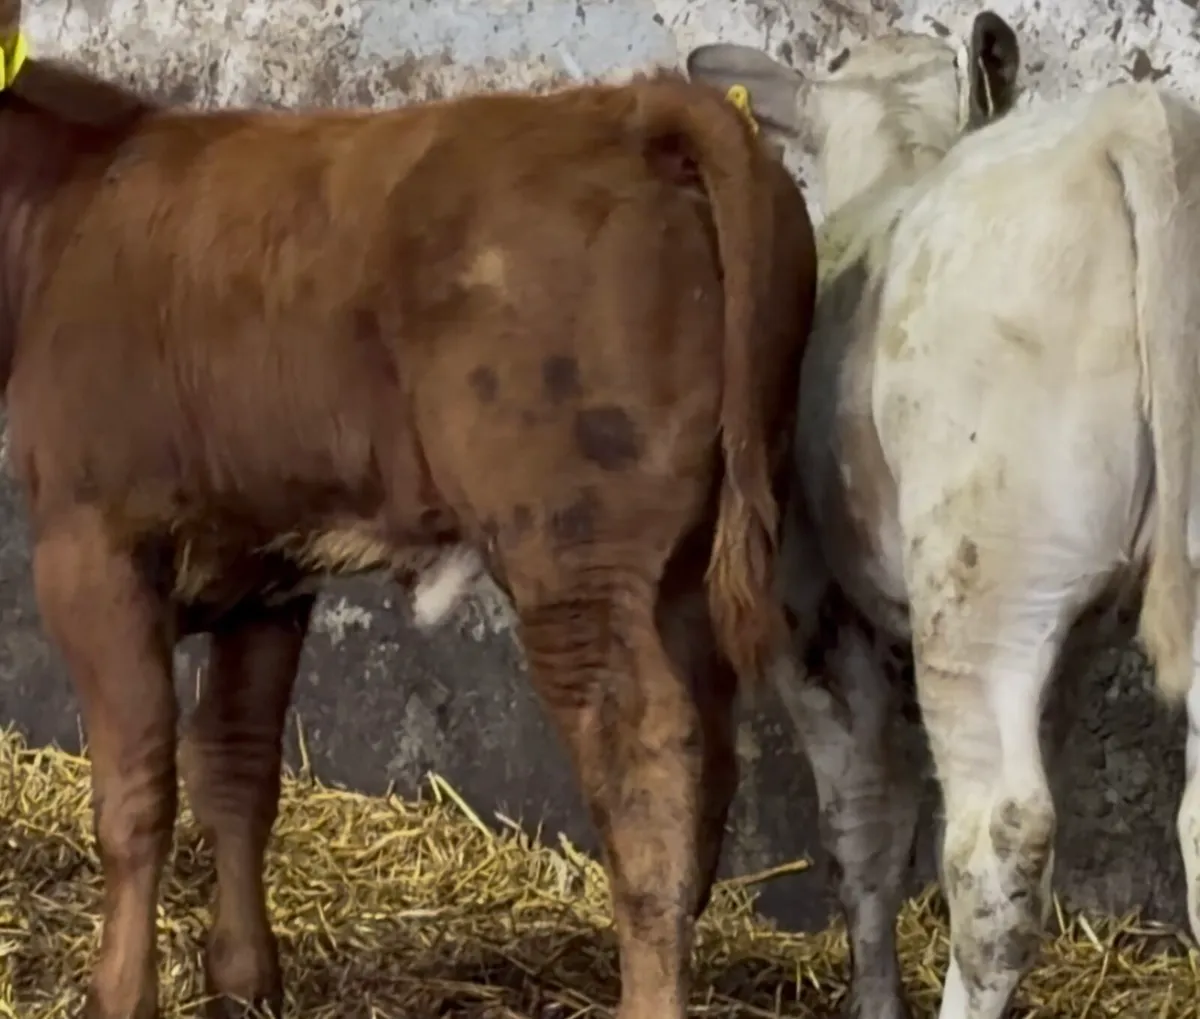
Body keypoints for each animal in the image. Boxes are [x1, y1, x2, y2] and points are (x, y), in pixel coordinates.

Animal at [0, 32, 818, 1019]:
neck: (66, 213)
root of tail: (625, 108)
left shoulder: (88, 543)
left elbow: (135, 792)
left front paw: (120, 992)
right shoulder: (265, 569)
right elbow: (237, 770)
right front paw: (245, 978)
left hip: (573, 554)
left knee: (647, 766)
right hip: (684, 563)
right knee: (711, 754)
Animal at [688, 10, 1200, 1019]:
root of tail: (1133, 119)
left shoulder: (808, 613)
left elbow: (865, 828)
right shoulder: (1069, 638)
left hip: (980, 581)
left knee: (997, 840)